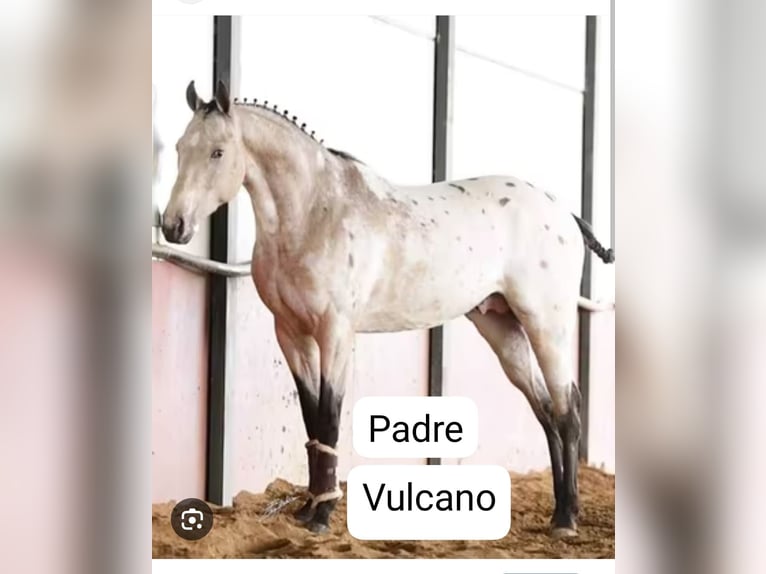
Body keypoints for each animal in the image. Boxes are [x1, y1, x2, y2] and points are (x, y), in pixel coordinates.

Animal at [161, 80, 615, 538]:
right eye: (180, 147)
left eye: (218, 151)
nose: (173, 226)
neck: (314, 213)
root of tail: (564, 212)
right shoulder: (291, 334)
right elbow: (311, 418)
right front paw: (309, 509)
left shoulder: (335, 334)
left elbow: (329, 415)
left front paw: (323, 515)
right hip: (503, 329)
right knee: (546, 412)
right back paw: (559, 511)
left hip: (546, 324)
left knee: (568, 409)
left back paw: (566, 519)